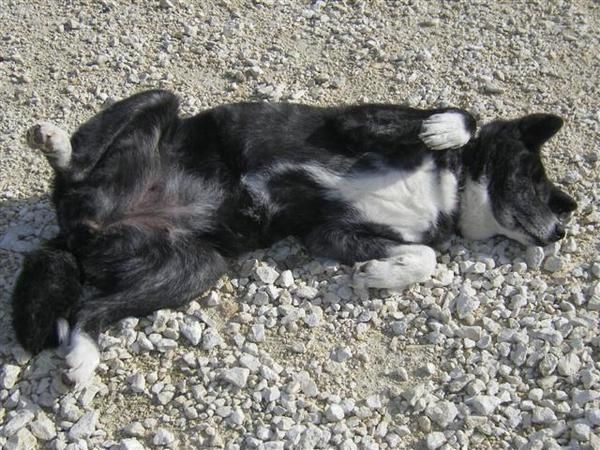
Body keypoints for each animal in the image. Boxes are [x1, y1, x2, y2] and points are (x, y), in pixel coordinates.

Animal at [10, 89, 576, 384]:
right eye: (533, 178)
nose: (559, 230)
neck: (451, 188)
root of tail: (78, 228)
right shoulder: (357, 122)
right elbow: (459, 117)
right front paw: (442, 127)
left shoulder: (334, 234)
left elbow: (423, 257)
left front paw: (380, 272)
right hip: (158, 104)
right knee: (78, 165)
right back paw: (57, 144)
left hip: (193, 269)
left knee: (90, 308)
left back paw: (84, 353)